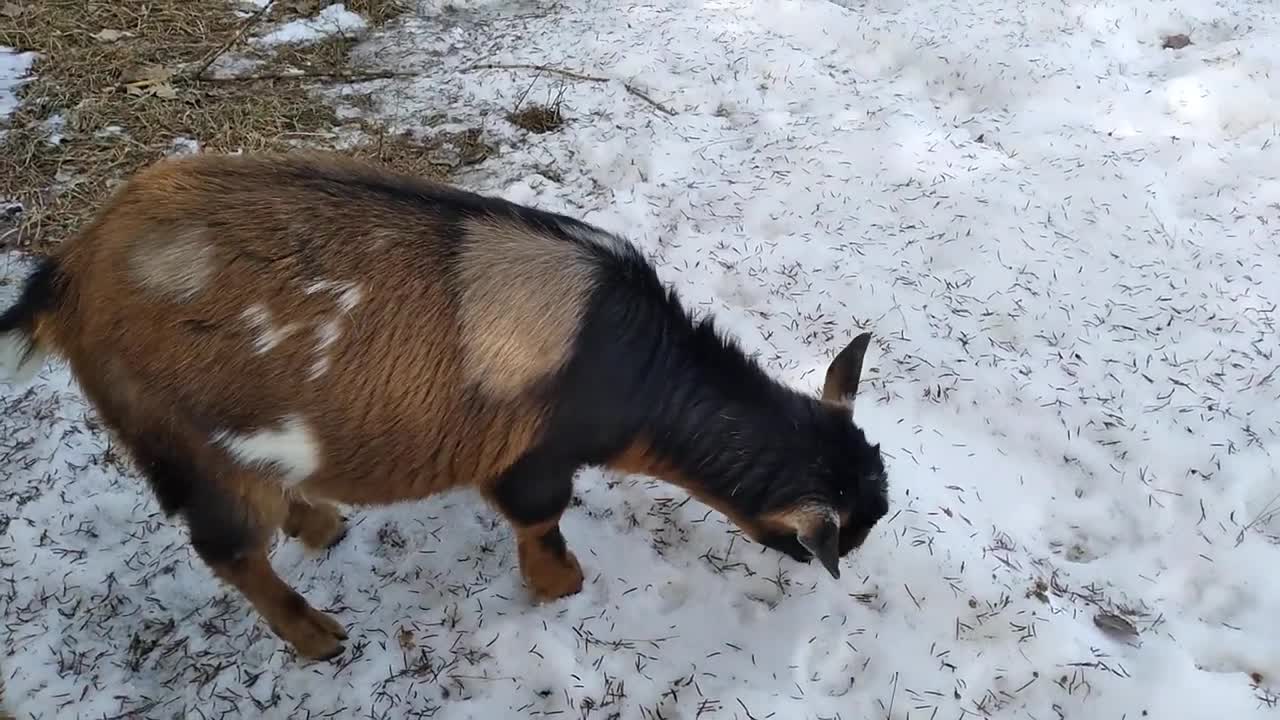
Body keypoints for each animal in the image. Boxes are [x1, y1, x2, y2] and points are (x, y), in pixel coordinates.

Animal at [0, 149, 885, 655]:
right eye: (831, 538)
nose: (837, 572)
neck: (637, 368)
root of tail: (68, 273)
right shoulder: (535, 453)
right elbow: (538, 515)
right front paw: (562, 587)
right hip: (177, 437)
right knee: (227, 548)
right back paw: (316, 636)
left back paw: (320, 523)